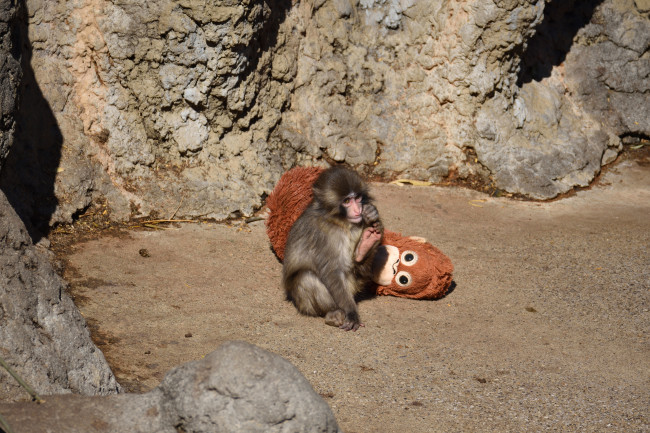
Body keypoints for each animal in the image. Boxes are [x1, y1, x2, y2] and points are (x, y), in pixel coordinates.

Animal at [282, 166, 384, 331]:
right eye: (347, 201)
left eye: (357, 198)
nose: (358, 210)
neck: (338, 221)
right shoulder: (321, 235)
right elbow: (331, 271)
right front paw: (351, 313)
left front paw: (371, 213)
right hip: (305, 305)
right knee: (306, 277)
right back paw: (333, 313)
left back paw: (365, 245)